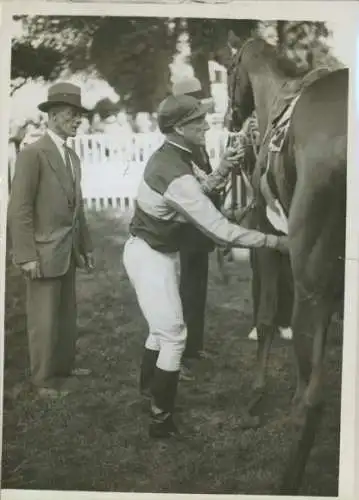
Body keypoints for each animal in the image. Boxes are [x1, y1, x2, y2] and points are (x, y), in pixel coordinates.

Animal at [228, 37, 348, 424]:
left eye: (230, 70)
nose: (230, 117)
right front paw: (298, 387)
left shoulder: (268, 233)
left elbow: (272, 316)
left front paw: (259, 391)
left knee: (317, 307)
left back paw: (310, 403)